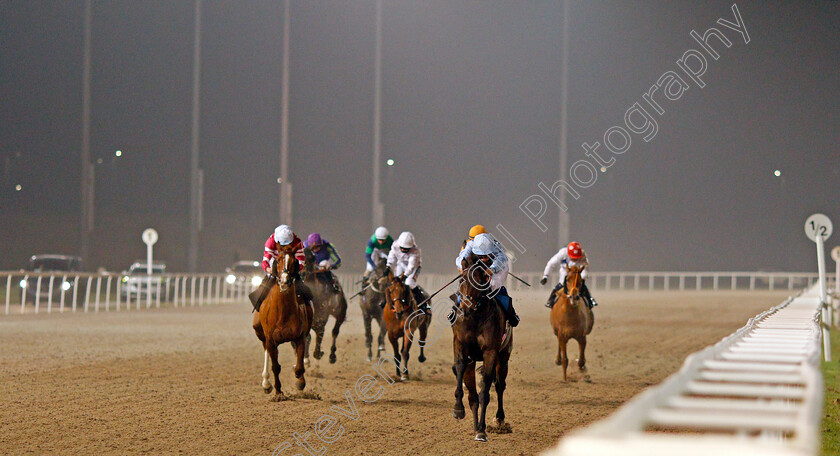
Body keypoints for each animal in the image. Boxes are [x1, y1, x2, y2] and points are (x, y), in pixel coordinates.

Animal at [253, 249, 316, 402]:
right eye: (278, 260)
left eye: (294, 261)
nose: (284, 281)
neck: (282, 311)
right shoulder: (271, 340)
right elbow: (275, 367)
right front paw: (278, 393)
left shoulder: (299, 337)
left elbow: (299, 366)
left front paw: (300, 382)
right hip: (261, 333)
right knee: (266, 352)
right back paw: (266, 384)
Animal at [452, 253, 512, 442]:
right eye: (462, 279)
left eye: (480, 280)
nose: (466, 309)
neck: (475, 317)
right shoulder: (460, 344)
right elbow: (460, 369)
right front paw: (458, 409)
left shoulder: (490, 351)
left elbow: (485, 392)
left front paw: (482, 431)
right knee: (473, 396)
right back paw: (475, 425)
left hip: (504, 357)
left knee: (499, 386)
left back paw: (498, 420)